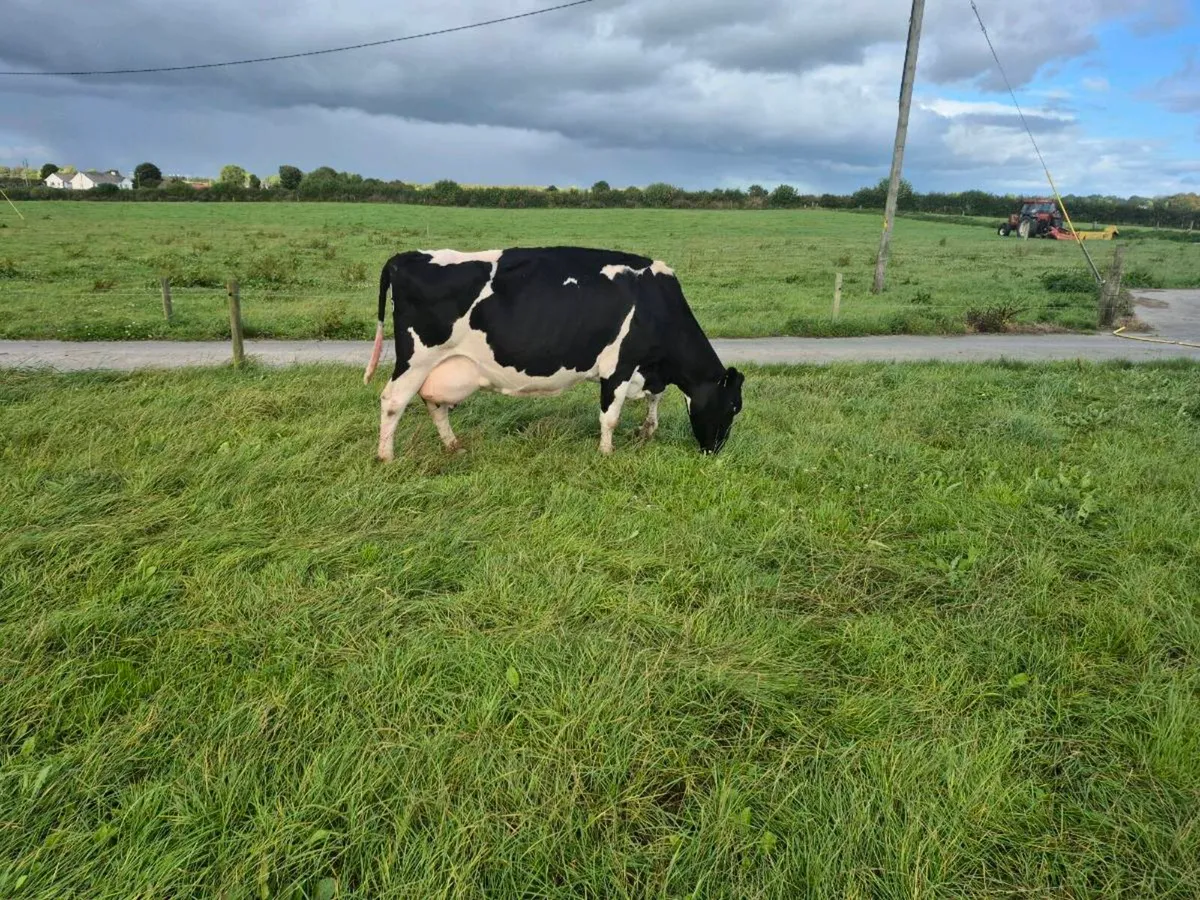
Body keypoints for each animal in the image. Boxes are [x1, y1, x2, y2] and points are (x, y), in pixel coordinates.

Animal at [363, 246, 744, 461]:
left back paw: (453, 446)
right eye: (733, 407)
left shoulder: (647, 370)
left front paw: (647, 431)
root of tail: (404, 258)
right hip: (416, 357)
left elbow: (655, 400)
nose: (714, 452)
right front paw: (606, 453)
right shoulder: (618, 366)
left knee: (434, 403)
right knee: (393, 400)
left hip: (442, 365)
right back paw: (386, 456)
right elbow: (610, 416)